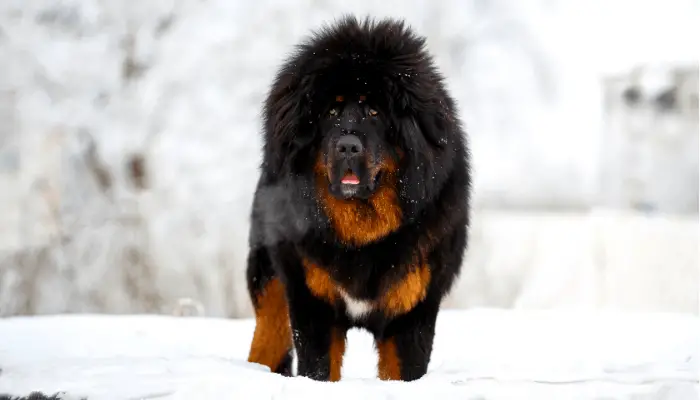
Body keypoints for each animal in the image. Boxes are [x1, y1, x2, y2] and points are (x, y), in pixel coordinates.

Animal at [245, 15, 470, 382]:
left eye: (375, 113)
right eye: (332, 112)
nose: (348, 146)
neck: (363, 231)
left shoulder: (411, 310)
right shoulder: (312, 302)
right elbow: (319, 368)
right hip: (271, 283)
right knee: (268, 338)